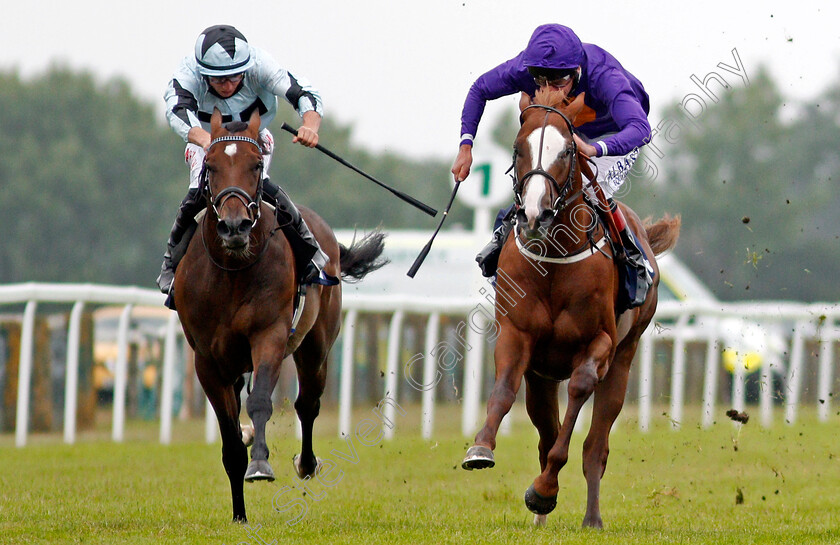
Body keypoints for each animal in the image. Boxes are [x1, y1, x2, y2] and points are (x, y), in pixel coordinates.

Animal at [177, 108, 388, 520]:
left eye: (256, 165)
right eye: (209, 165)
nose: (234, 226)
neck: (232, 271)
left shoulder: (269, 336)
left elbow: (261, 401)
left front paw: (260, 465)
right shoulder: (206, 359)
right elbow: (229, 434)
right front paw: (239, 514)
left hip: (316, 347)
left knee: (308, 403)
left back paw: (306, 463)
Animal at [462, 89, 680, 528]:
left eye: (566, 151)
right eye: (518, 147)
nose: (534, 214)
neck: (555, 258)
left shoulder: (599, 343)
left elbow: (579, 396)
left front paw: (544, 491)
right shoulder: (517, 336)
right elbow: (504, 389)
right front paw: (481, 448)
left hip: (624, 358)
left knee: (595, 446)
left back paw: (589, 517)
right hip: (542, 377)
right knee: (545, 433)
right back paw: (540, 519)